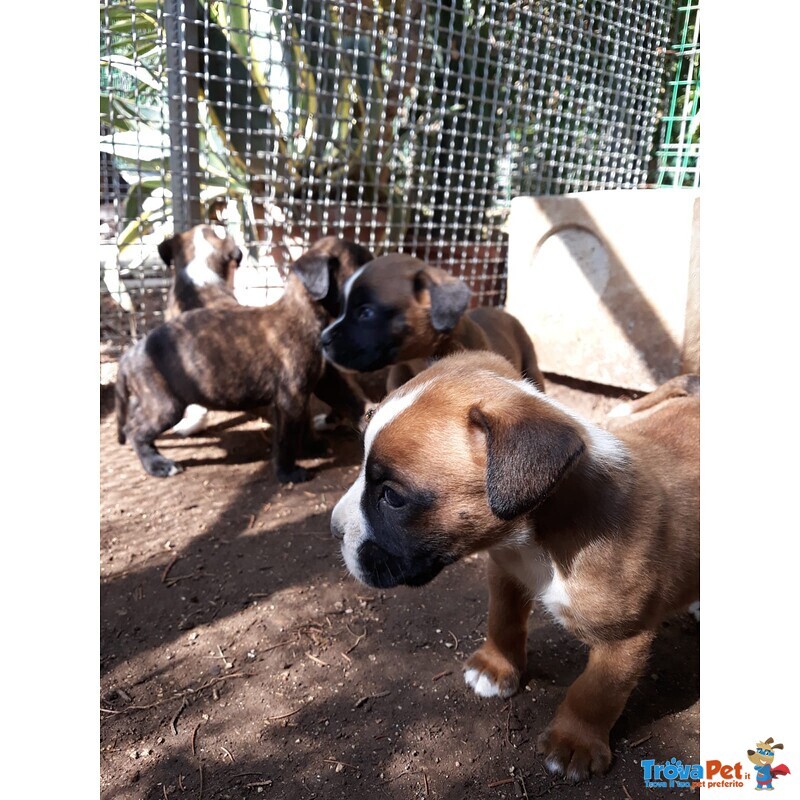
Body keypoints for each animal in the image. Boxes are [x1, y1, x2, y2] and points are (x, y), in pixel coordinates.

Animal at [115, 233, 376, 482]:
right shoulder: (291, 398)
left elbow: (315, 417)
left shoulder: (319, 384)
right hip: (165, 405)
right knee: (136, 431)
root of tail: (129, 355)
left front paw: (313, 446)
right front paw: (288, 473)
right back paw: (158, 465)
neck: (307, 313)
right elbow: (288, 437)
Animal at [328, 352, 696, 780]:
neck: (539, 543)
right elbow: (501, 621)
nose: (334, 529)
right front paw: (495, 667)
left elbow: (595, 692)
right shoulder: (504, 571)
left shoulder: (622, 640)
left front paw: (574, 742)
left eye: (391, 496)